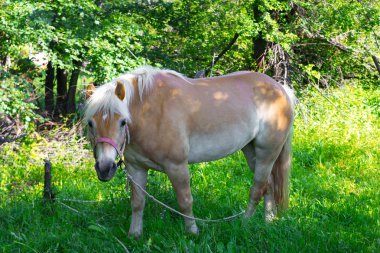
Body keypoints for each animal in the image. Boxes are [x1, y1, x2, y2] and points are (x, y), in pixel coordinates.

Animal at [84, 65, 296, 237]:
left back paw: (245, 223)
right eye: (90, 123)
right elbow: (137, 202)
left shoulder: (177, 166)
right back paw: (268, 222)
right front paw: (134, 235)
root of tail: (281, 89)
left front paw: (192, 233)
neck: (150, 111)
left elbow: (185, 201)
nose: (104, 168)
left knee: (258, 188)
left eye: (122, 122)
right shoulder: (136, 168)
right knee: (269, 185)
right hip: (251, 152)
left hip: (267, 153)